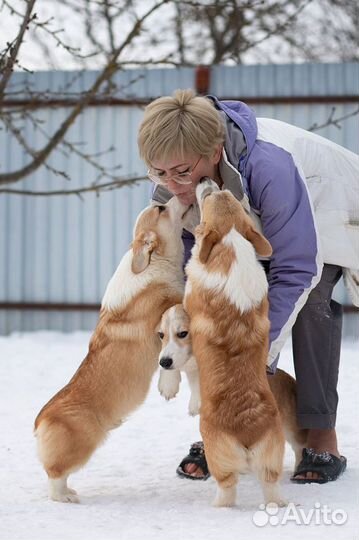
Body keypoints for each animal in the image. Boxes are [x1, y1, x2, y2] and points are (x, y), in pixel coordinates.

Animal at [34, 197, 188, 502]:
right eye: (161, 209)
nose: (177, 196)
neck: (154, 263)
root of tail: (41, 419)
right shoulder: (160, 320)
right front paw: (168, 386)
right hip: (81, 444)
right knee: (55, 473)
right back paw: (65, 496)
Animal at [158, 304, 306, 468]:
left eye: (183, 333)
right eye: (161, 335)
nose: (164, 362)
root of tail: (291, 381)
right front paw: (168, 384)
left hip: (289, 428)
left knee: (300, 446)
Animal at [184, 176, 288, 506]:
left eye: (209, 195)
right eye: (224, 192)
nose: (206, 178)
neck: (230, 242)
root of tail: (249, 428)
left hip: (217, 452)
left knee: (227, 487)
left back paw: (218, 507)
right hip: (271, 460)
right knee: (271, 484)